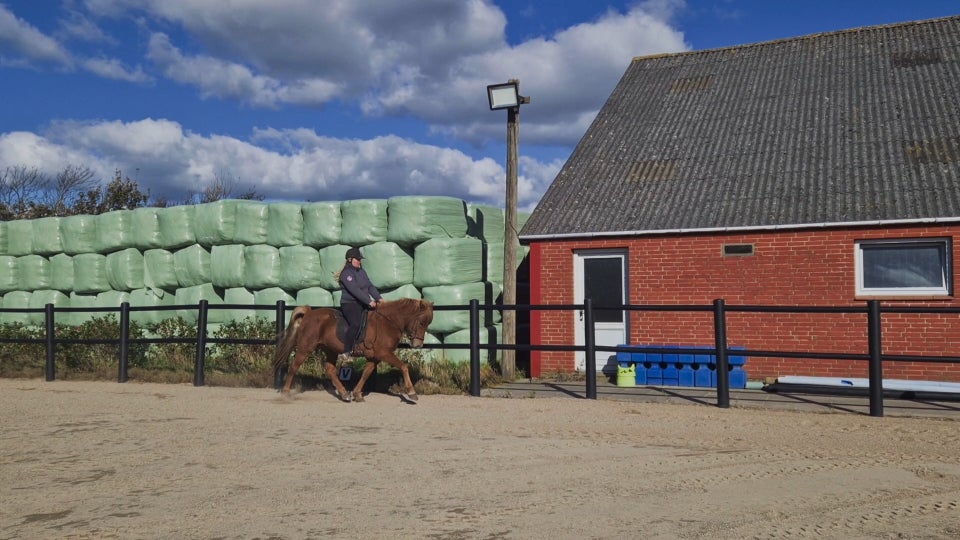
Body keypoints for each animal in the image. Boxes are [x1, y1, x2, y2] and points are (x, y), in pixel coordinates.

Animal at [272, 298, 434, 402]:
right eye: (421, 322)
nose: (418, 345)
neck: (388, 322)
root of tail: (309, 313)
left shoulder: (374, 357)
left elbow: (366, 373)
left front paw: (357, 394)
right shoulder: (384, 353)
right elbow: (404, 366)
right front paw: (412, 393)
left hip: (330, 350)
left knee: (330, 369)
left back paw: (344, 394)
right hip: (306, 347)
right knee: (294, 366)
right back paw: (285, 393)